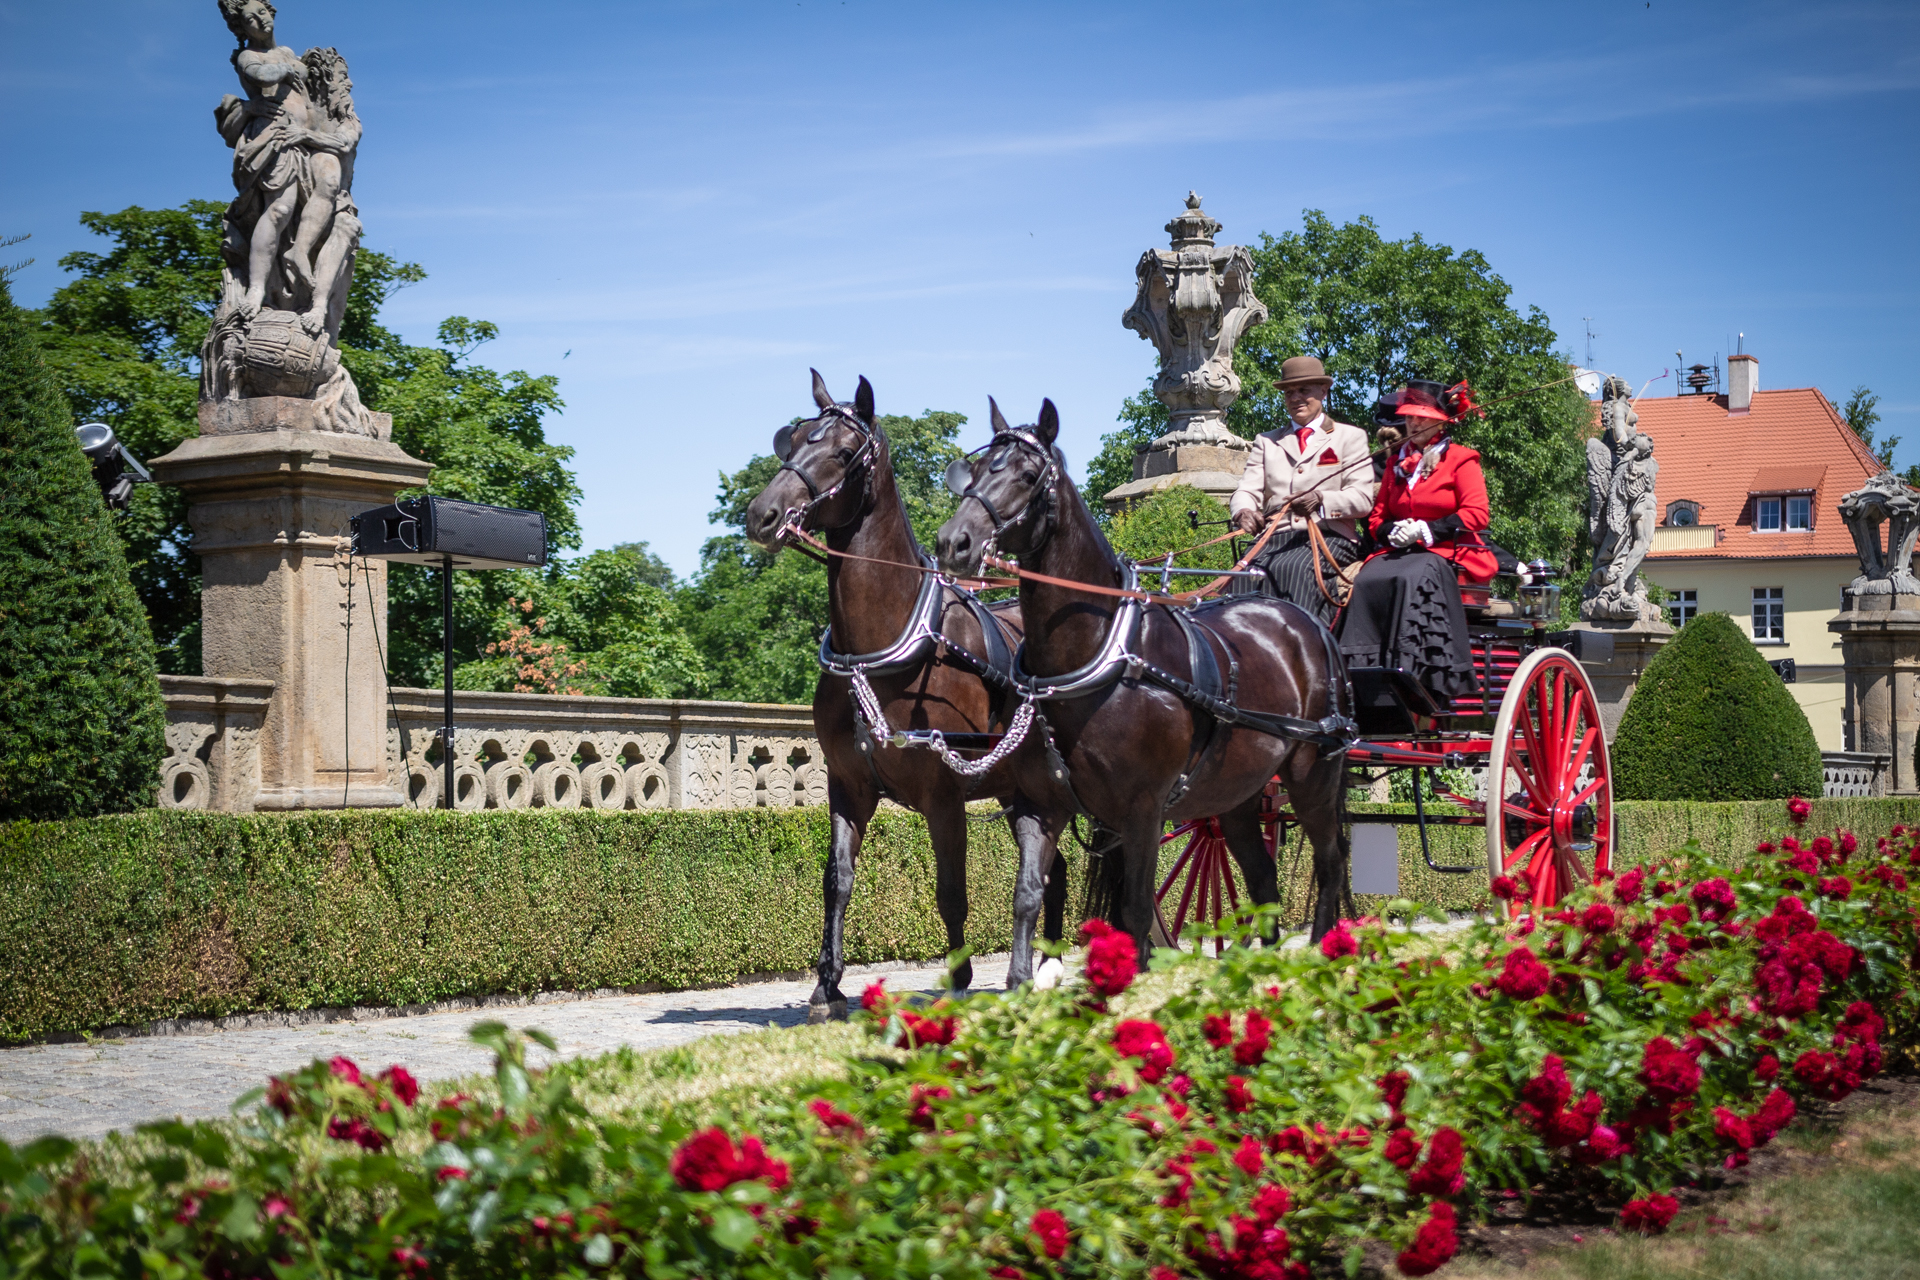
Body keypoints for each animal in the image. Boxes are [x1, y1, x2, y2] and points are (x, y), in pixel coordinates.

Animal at [741, 370, 1075, 1020]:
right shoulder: (849, 784)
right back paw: (1046, 964)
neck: (882, 647)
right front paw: (828, 985)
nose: (763, 514)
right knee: (1056, 865)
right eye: (792, 439)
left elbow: (951, 891)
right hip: (1021, 788)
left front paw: (960, 977)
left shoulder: (944, 796)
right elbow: (838, 879)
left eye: (844, 451)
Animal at [929, 401, 1351, 951]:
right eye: (976, 471)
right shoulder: (1044, 804)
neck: (1092, 657)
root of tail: (1308, 622)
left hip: (1313, 776)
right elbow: (1028, 899)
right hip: (1237, 793)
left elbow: (1133, 911)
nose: (953, 542)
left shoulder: (1143, 812)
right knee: (1263, 879)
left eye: (1026, 475)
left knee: (1330, 865)